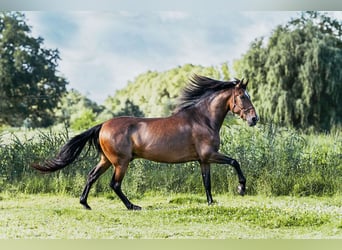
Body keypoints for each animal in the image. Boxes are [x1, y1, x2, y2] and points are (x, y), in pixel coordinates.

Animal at [32, 75, 258, 210]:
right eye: (242, 96)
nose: (254, 119)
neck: (202, 119)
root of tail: (103, 125)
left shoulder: (203, 159)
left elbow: (207, 182)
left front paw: (211, 202)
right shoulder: (210, 155)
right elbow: (235, 162)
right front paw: (241, 188)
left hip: (106, 160)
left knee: (91, 176)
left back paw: (85, 204)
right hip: (121, 162)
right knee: (114, 184)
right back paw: (132, 206)